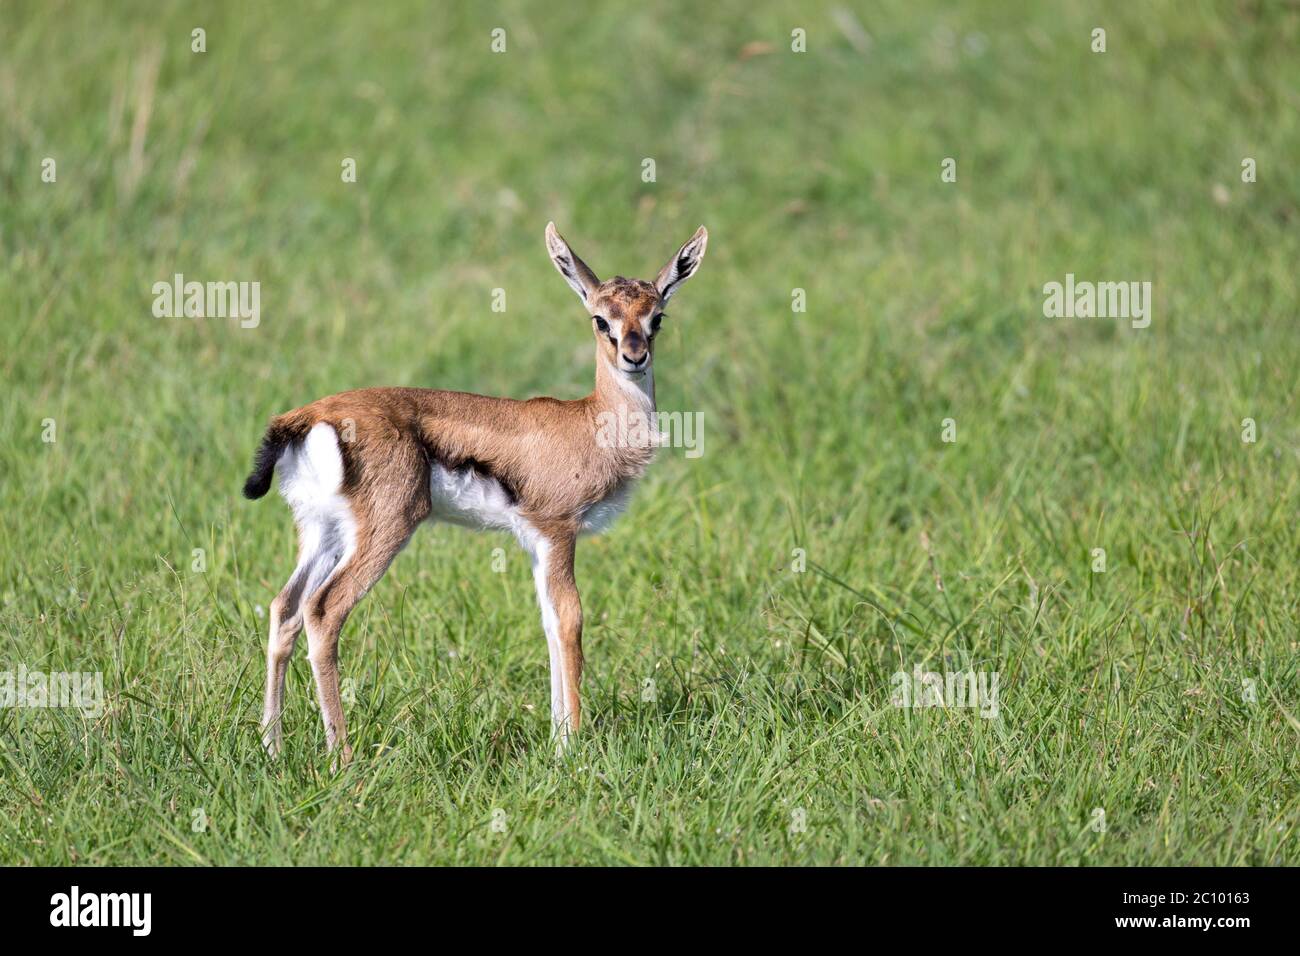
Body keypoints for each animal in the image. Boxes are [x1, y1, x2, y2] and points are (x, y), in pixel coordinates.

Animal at [244, 222, 708, 762]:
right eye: (600, 319)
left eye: (656, 317)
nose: (635, 357)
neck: (592, 423)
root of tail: (306, 417)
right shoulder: (558, 531)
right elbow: (570, 620)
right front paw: (571, 749)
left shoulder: (534, 541)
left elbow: (548, 623)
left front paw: (557, 739)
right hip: (386, 531)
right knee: (322, 612)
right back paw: (343, 757)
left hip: (324, 533)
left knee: (285, 609)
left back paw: (272, 747)